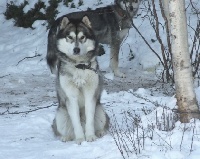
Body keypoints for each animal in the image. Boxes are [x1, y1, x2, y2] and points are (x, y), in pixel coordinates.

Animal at [50, 15, 108, 144]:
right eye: (70, 37)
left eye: (82, 37)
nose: (76, 49)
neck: (79, 66)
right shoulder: (71, 97)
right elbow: (76, 122)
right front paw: (80, 139)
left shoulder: (90, 94)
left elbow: (90, 119)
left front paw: (90, 136)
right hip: (60, 114)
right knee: (67, 129)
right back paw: (66, 137)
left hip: (100, 110)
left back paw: (100, 132)